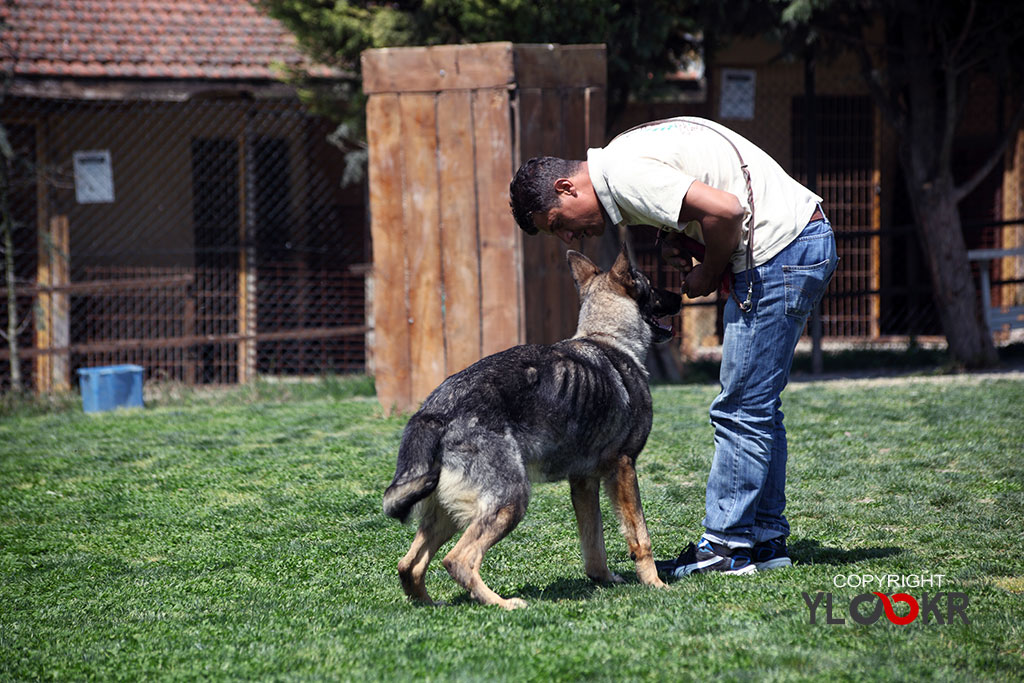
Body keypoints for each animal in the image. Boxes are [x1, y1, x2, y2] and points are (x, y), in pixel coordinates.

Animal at [385, 246, 679, 610]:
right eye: (652, 286)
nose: (680, 295)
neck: (609, 339)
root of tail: (434, 411)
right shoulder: (624, 469)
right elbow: (640, 536)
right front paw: (655, 584)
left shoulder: (583, 482)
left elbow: (593, 542)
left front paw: (604, 579)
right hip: (510, 502)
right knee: (458, 560)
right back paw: (502, 604)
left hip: (448, 514)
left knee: (408, 565)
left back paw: (432, 604)